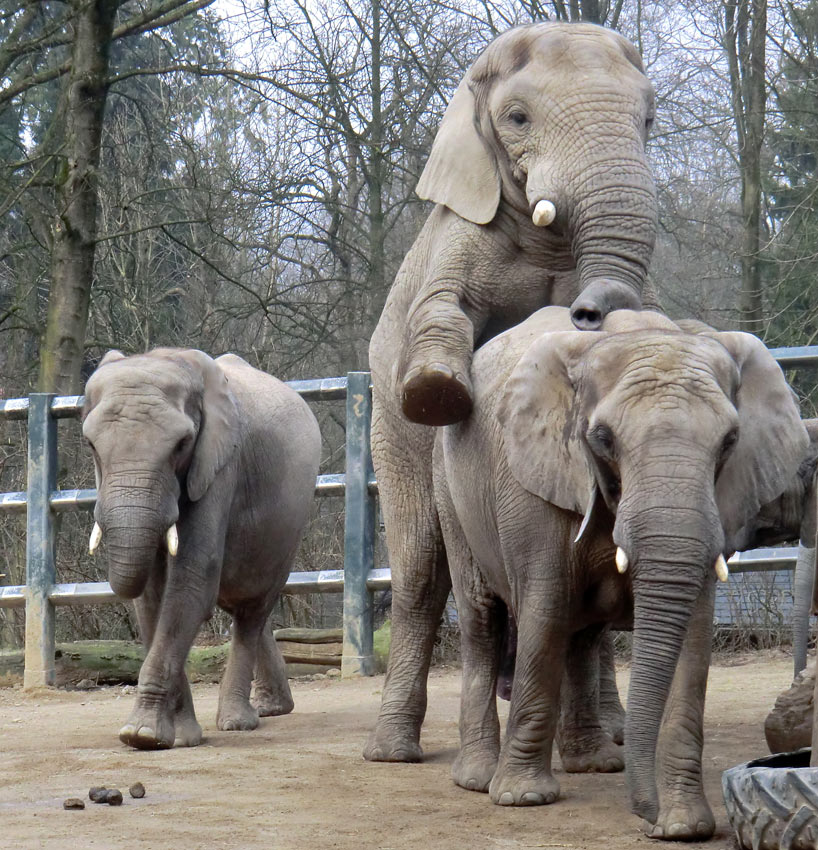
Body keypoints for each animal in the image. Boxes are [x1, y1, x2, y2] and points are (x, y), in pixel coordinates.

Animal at [81, 348, 320, 744]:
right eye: (90, 444)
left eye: (182, 444)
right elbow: (153, 597)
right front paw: (176, 736)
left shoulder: (220, 465)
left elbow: (191, 578)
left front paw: (141, 735)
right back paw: (271, 708)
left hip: (290, 522)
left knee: (253, 608)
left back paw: (239, 721)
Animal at [364, 19, 656, 760]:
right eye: (517, 118)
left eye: (648, 120)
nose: (589, 312)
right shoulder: (462, 231)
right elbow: (443, 303)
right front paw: (438, 390)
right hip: (388, 433)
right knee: (420, 572)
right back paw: (393, 749)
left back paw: (607, 736)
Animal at [430, 304, 808, 836]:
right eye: (602, 439)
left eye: (731, 440)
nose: (645, 819)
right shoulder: (535, 483)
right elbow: (544, 612)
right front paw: (523, 798)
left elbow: (693, 637)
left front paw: (683, 827)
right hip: (448, 485)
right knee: (484, 618)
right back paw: (478, 777)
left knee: (582, 635)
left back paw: (593, 763)